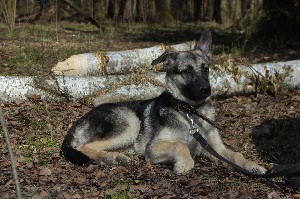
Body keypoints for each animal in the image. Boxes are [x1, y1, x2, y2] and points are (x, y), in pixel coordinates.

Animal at [59, 29, 266, 174]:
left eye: (205, 69)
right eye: (187, 71)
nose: (206, 90)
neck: (190, 112)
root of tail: (78, 123)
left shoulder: (216, 148)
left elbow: (235, 155)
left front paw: (252, 165)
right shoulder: (153, 148)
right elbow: (180, 145)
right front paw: (184, 163)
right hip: (130, 122)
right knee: (83, 147)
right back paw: (110, 159)